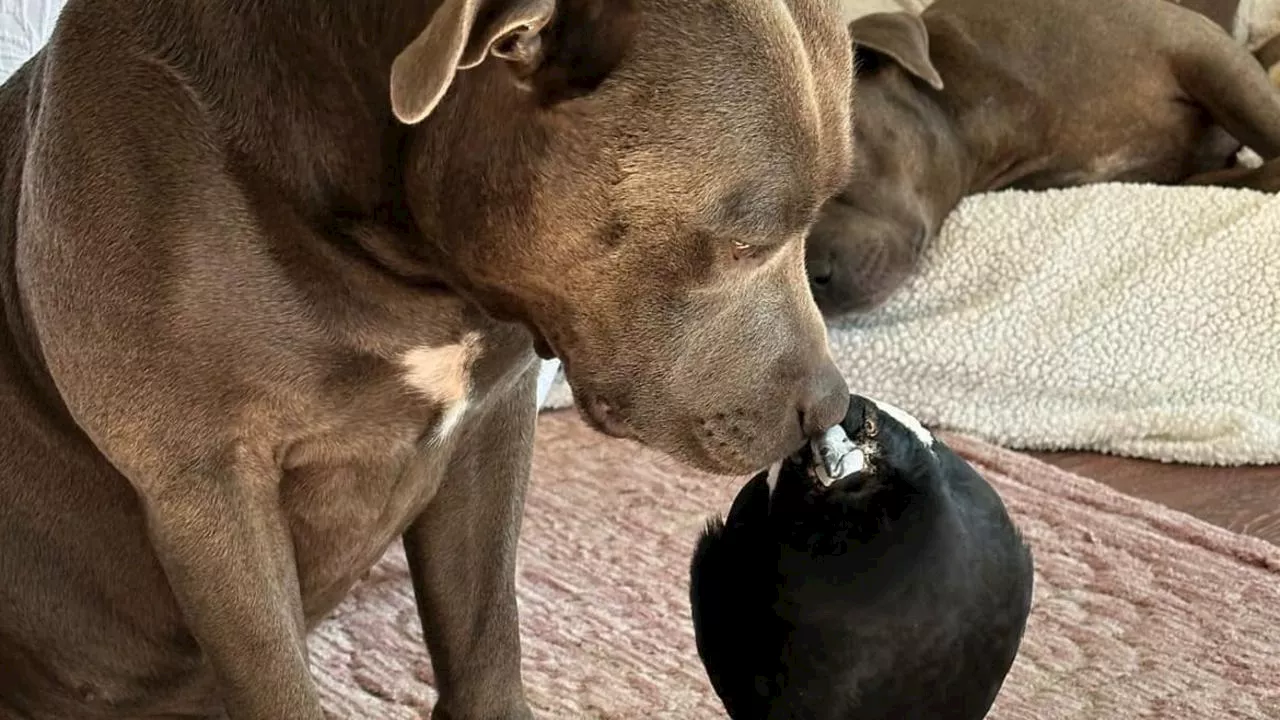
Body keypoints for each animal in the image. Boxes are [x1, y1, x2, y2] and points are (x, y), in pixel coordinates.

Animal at [0, 1, 860, 717]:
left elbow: (486, 631)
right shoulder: (207, 487)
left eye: (825, 212)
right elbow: (280, 687)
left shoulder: (490, 419)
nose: (833, 405)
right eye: (744, 240)